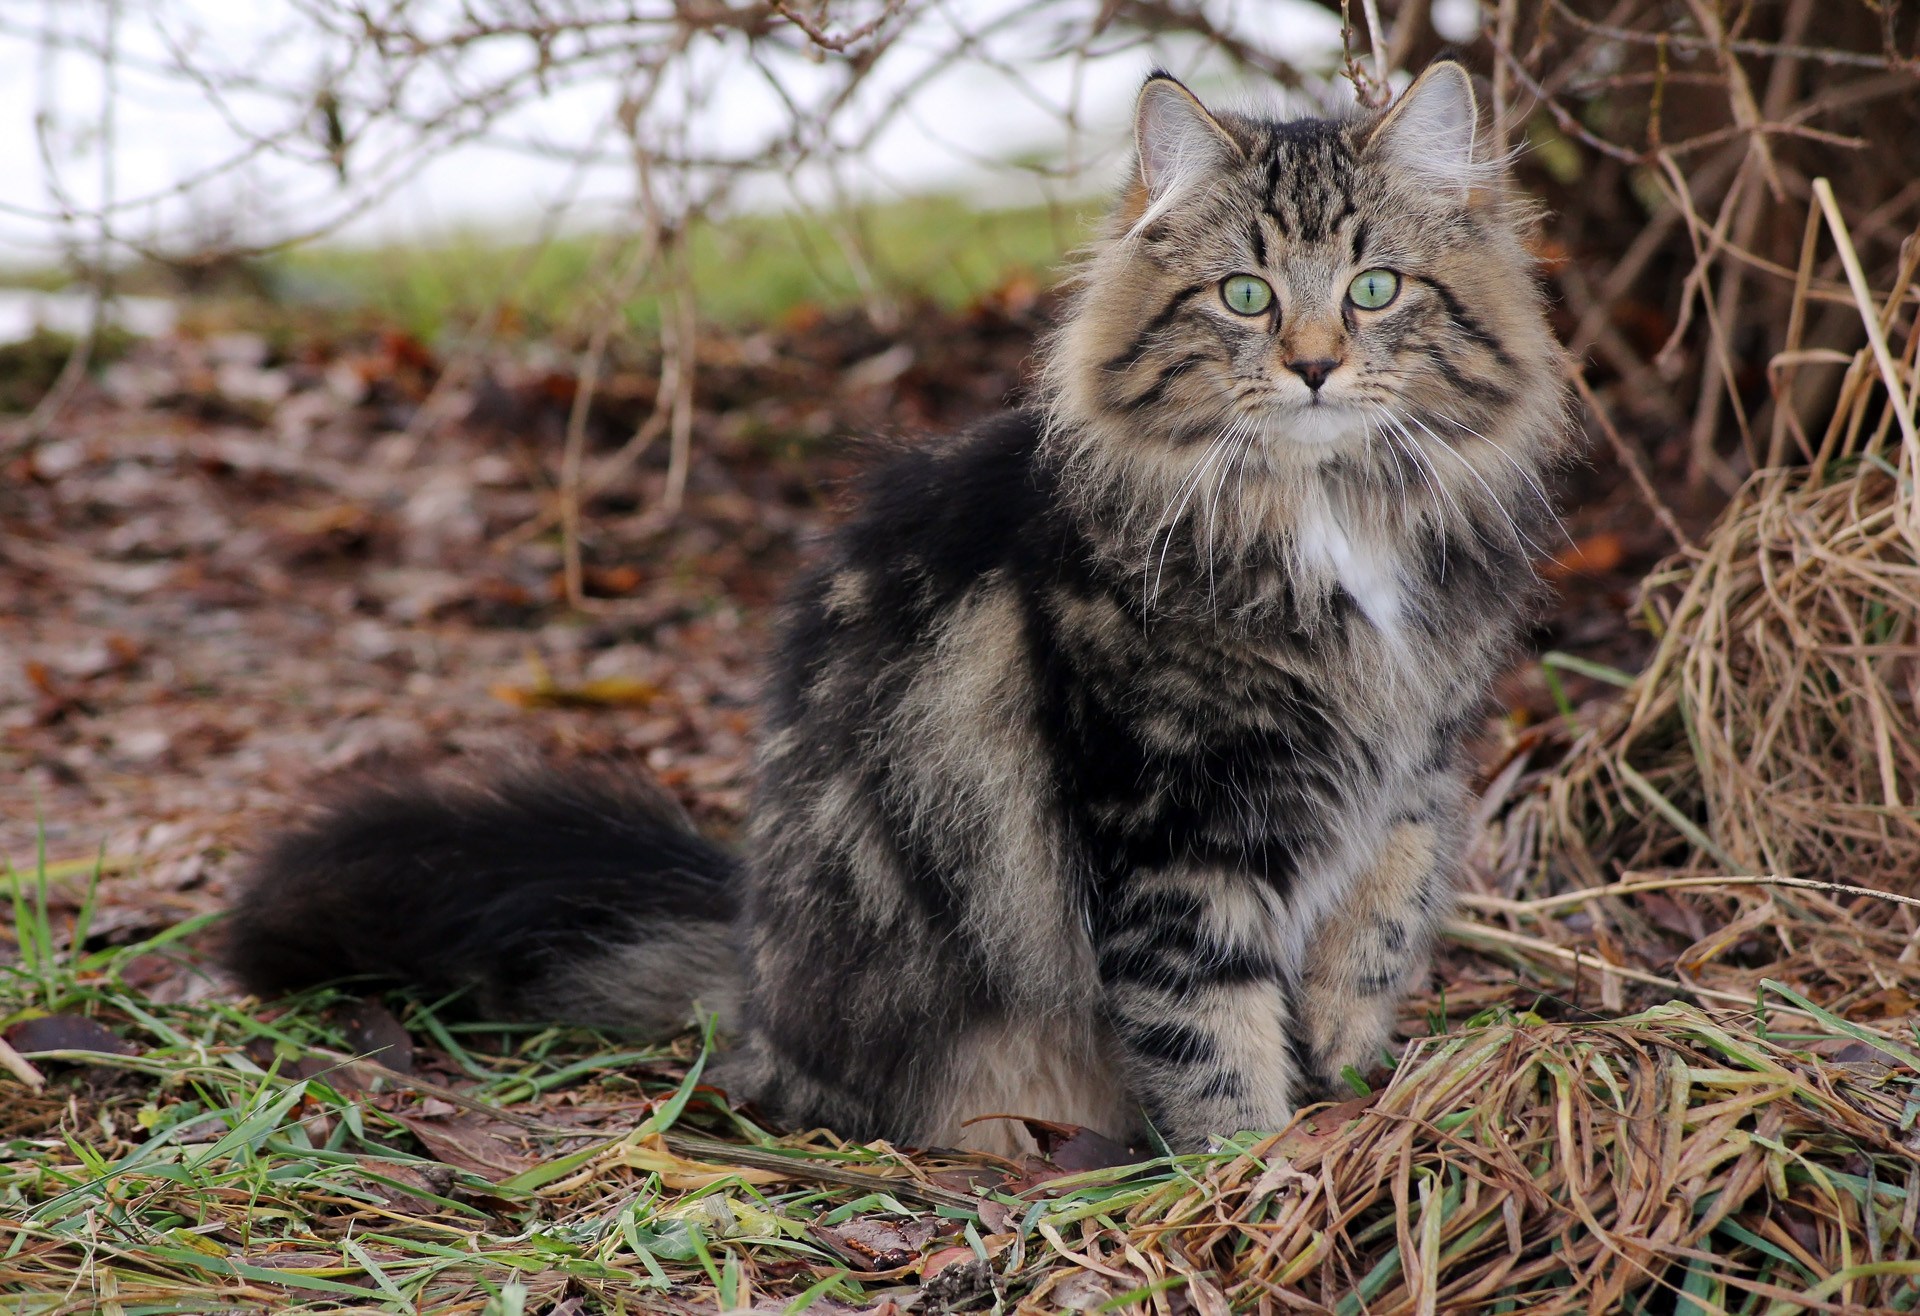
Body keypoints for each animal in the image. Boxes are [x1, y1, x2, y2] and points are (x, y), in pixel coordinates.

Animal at [228, 59, 1574, 1152]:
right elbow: (1209, 1037)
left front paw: (1344, 1086)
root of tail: (754, 975)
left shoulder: (1412, 773)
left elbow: (1372, 946)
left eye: (1375, 287)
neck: (1326, 517)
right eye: (1245, 295)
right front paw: (1250, 1175)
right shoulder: (1173, 828)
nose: (1313, 364)